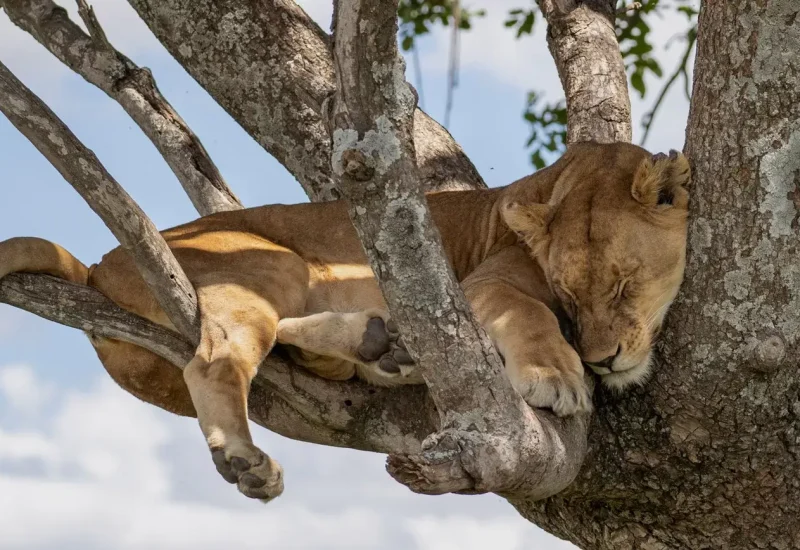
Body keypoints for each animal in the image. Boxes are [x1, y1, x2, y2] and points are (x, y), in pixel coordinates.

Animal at [0, 142, 690, 502]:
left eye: (623, 284)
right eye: (571, 296)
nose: (602, 360)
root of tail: (98, 263)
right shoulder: (478, 284)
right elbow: (529, 311)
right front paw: (557, 375)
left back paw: (383, 346)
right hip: (271, 261)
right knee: (217, 356)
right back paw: (248, 458)